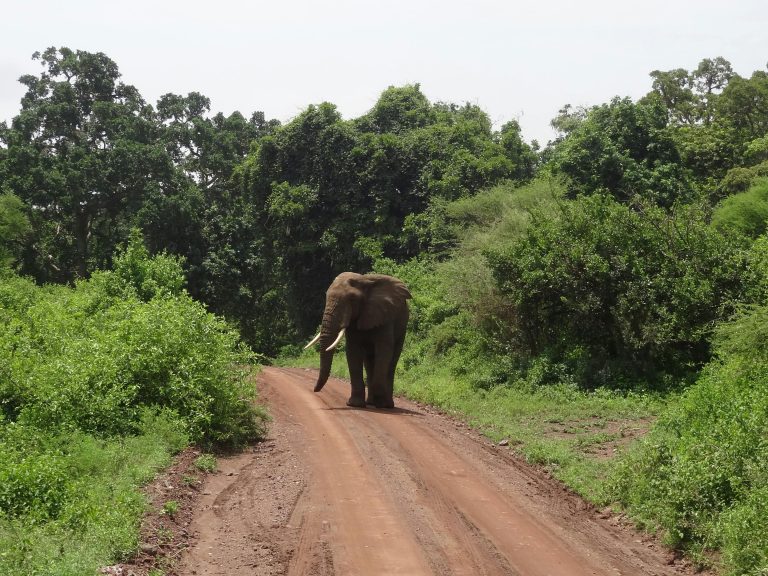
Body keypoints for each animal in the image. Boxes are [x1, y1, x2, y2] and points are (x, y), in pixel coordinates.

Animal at [304, 272, 411, 408]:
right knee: (369, 361)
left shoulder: (385, 317)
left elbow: (384, 352)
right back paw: (371, 402)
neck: (364, 280)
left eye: (352, 299)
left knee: (392, 361)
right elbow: (353, 352)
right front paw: (355, 404)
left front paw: (380, 403)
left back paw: (386, 404)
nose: (314, 390)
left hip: (402, 328)